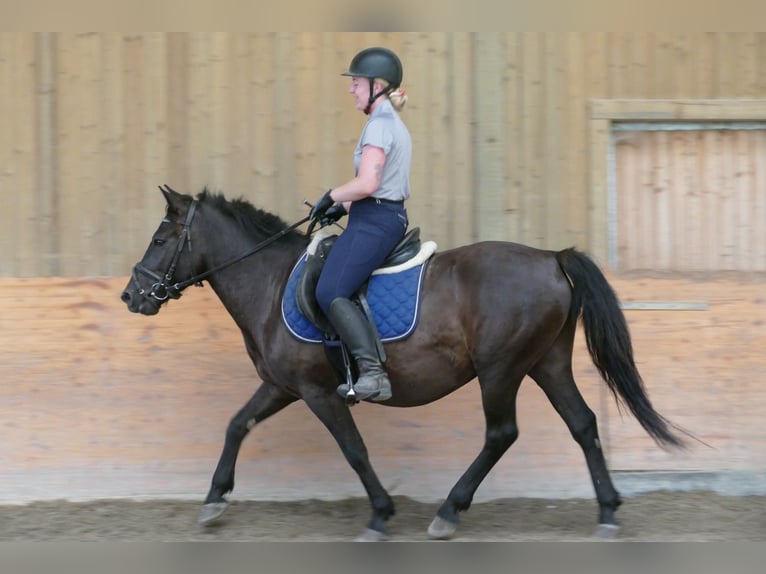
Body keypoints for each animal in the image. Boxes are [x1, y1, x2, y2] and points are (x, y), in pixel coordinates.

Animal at [121, 186, 688, 544]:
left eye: (160, 239)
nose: (131, 296)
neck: (270, 281)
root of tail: (552, 257)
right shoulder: (283, 386)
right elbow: (237, 425)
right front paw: (214, 500)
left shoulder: (319, 392)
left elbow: (354, 450)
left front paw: (380, 515)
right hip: (545, 362)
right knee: (583, 424)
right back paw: (608, 510)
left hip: (501, 368)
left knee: (501, 433)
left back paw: (449, 512)